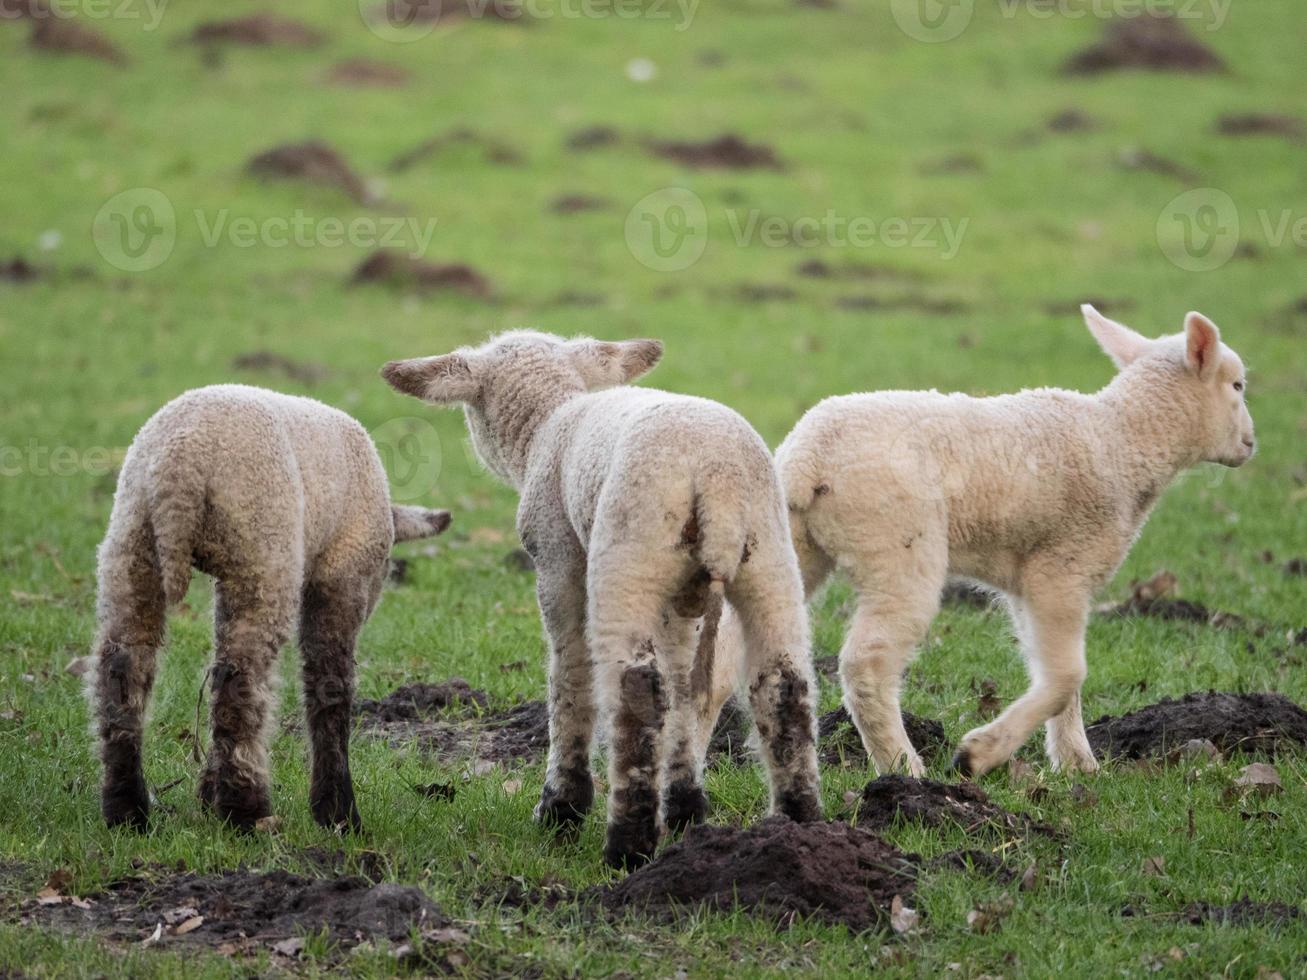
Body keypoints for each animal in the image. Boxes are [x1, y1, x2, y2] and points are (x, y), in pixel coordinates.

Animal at [92, 386, 449, 836]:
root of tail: (179, 466)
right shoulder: (343, 573)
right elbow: (329, 686)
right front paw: (337, 813)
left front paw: (206, 793)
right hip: (262, 548)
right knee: (240, 680)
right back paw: (246, 812)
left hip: (132, 544)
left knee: (123, 671)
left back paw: (127, 811)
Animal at [381, 334, 820, 872]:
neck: (549, 420)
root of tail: (714, 480)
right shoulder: (680, 599)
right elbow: (682, 684)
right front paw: (685, 808)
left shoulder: (556, 558)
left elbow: (569, 676)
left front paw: (560, 808)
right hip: (768, 550)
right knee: (782, 685)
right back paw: (798, 831)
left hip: (628, 554)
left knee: (636, 694)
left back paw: (626, 846)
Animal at [737, 310, 1254, 778]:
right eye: (1237, 386)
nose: (1251, 444)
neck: (1124, 441)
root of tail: (805, 460)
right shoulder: (1062, 567)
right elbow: (1068, 675)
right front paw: (978, 754)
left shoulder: (1029, 580)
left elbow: (1053, 674)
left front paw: (1077, 765)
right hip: (897, 546)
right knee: (867, 664)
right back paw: (904, 767)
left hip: (787, 543)